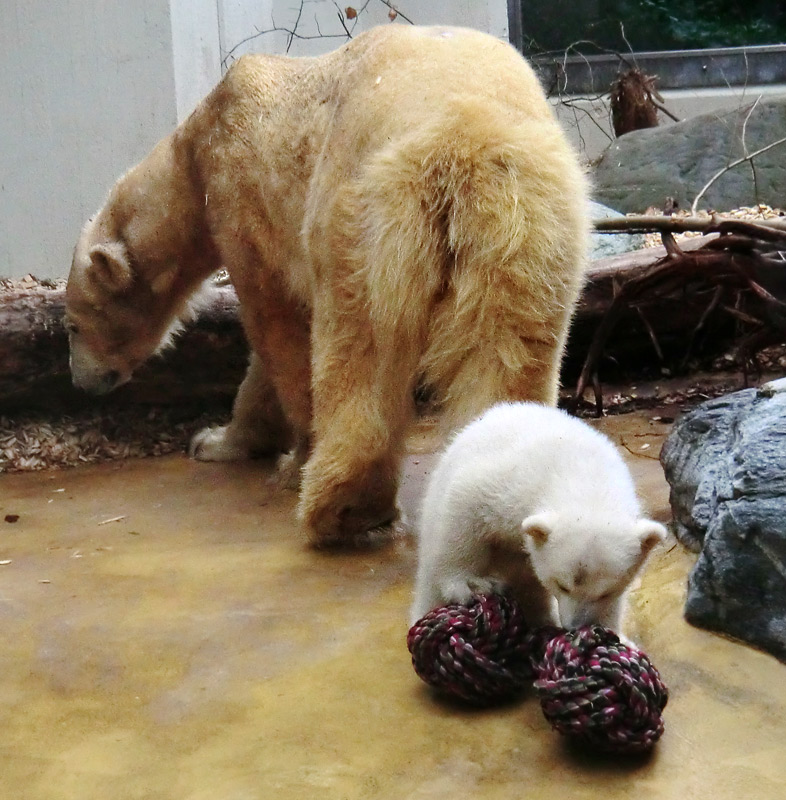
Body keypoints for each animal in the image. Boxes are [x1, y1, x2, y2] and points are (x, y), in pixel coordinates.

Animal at [64, 26, 584, 552]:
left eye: (71, 325)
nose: (80, 381)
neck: (193, 148)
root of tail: (465, 144)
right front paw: (222, 441)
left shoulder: (243, 195)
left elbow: (278, 330)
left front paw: (250, 449)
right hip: (528, 232)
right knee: (511, 350)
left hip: (362, 207)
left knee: (361, 341)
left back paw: (345, 507)